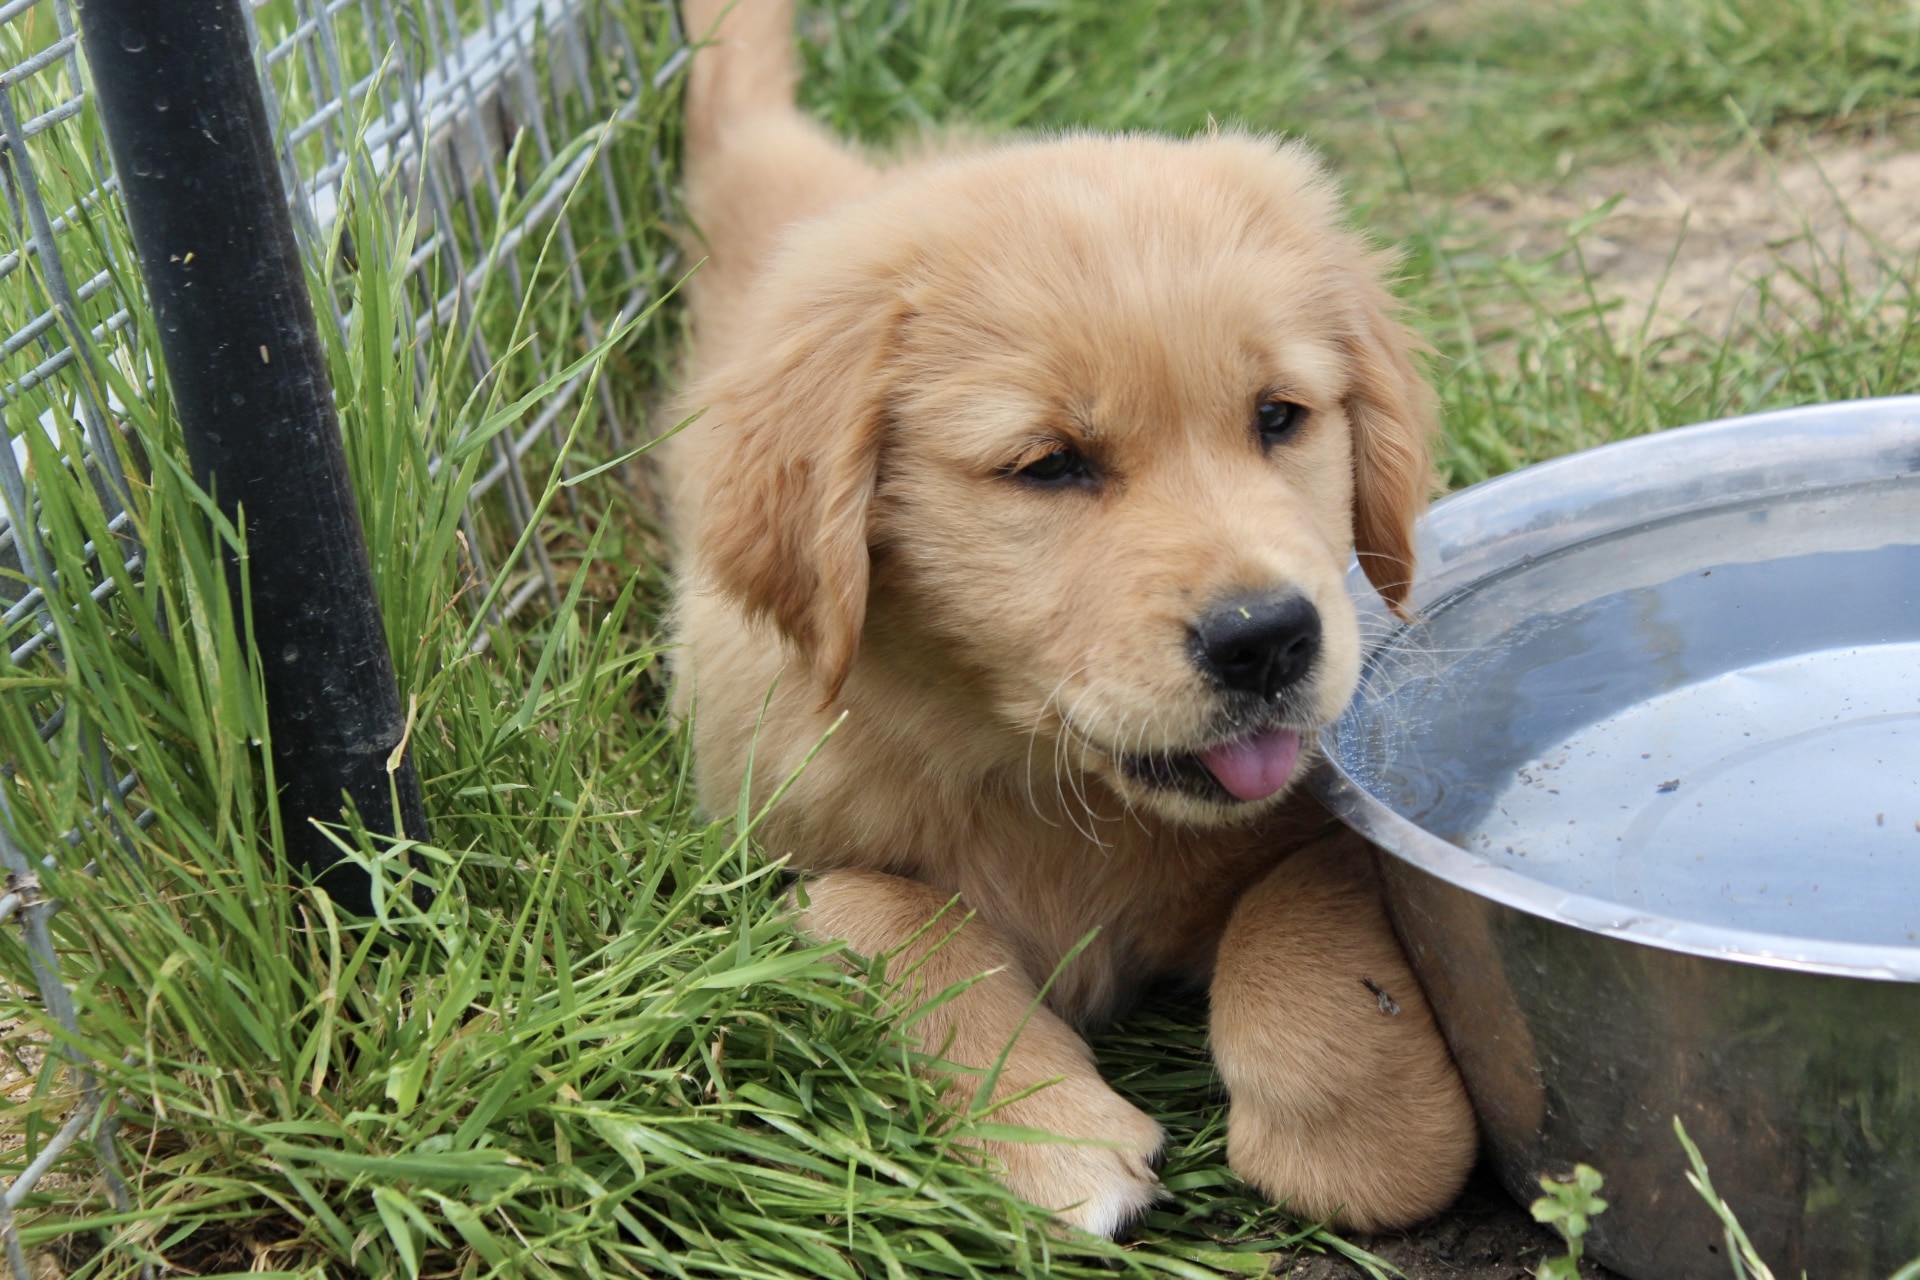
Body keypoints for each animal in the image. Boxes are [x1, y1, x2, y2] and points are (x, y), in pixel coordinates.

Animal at [668, 0, 1474, 1243]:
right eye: (1050, 465)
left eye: (1278, 416)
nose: (1269, 637)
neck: (1041, 786)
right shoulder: (771, 852)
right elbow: (891, 916)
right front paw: (1050, 1131)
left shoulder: (1307, 824)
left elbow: (1302, 921)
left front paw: (1353, 1120)